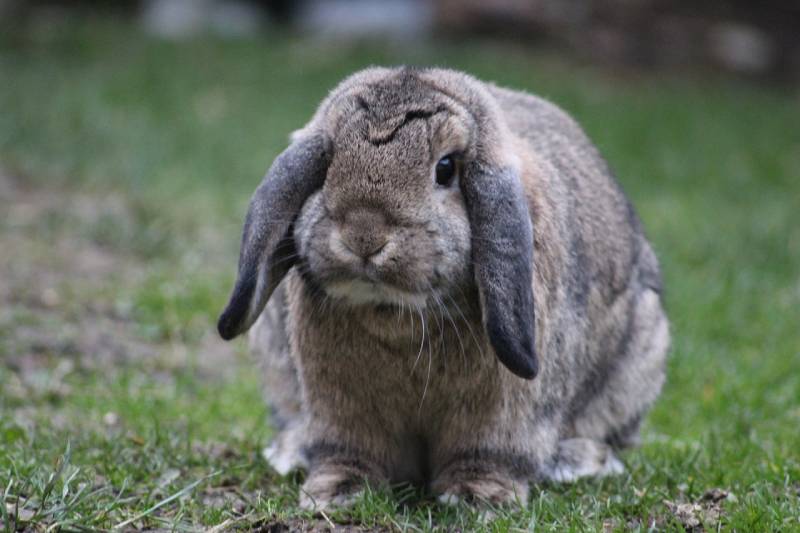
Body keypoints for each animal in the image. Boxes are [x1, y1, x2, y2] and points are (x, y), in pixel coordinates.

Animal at [217, 67, 669, 509]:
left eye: (446, 168)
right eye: (327, 162)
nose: (364, 235)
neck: (395, 311)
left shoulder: (500, 416)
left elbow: (488, 451)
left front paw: (478, 497)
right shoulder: (339, 410)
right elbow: (347, 449)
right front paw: (337, 492)